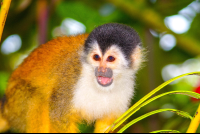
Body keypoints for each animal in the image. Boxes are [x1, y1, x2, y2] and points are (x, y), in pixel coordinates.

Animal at [0, 22, 144, 132]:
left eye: (110, 59)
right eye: (96, 57)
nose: (101, 70)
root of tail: (5, 102)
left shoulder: (127, 88)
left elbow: (107, 123)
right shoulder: (71, 74)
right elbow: (59, 117)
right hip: (16, 105)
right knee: (36, 97)